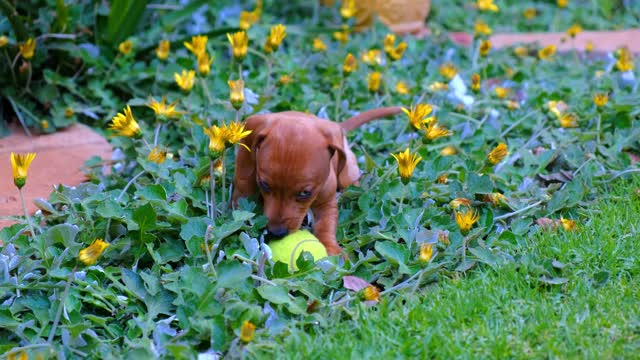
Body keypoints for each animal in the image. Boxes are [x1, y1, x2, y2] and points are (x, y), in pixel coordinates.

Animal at [230, 107, 400, 256]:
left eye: (305, 193)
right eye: (264, 185)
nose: (277, 233)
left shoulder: (327, 203)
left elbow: (326, 225)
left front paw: (331, 249)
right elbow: (242, 197)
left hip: (348, 175)